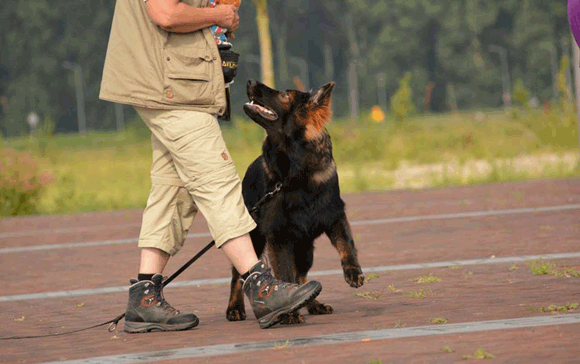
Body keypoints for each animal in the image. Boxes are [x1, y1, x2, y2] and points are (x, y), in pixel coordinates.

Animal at [225, 80, 364, 324]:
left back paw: (314, 303)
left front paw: (353, 271)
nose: (250, 81)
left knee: (302, 278)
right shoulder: (279, 238)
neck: (296, 175)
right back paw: (235, 308)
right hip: (255, 239)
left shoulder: (334, 215)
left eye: (284, 95)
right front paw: (289, 312)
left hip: (305, 251)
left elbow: (346, 244)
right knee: (238, 275)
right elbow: (285, 274)